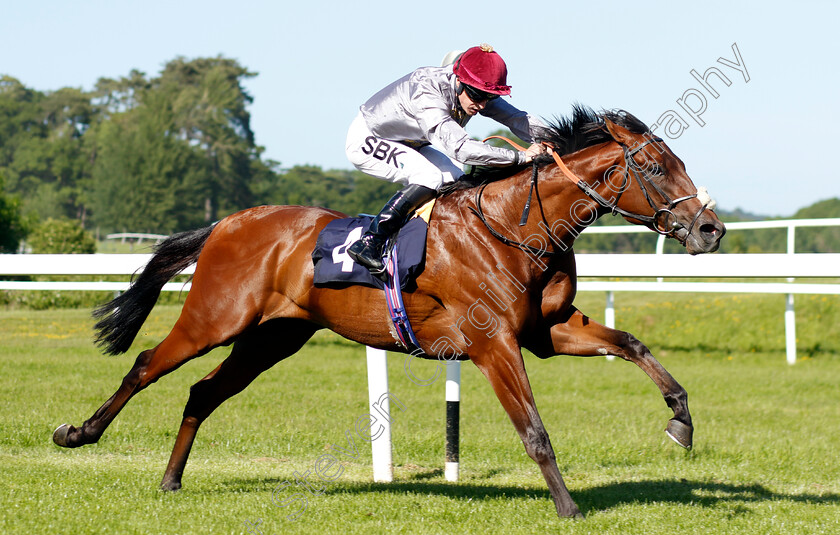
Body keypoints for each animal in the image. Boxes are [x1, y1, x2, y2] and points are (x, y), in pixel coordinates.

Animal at [52, 107, 724, 520]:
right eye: (656, 167)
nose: (711, 230)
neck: (514, 227)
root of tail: (228, 222)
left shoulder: (545, 332)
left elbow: (632, 344)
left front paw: (681, 420)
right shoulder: (494, 345)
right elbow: (534, 430)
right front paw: (568, 507)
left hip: (274, 338)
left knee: (202, 391)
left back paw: (171, 479)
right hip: (216, 319)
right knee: (147, 364)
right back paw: (79, 433)